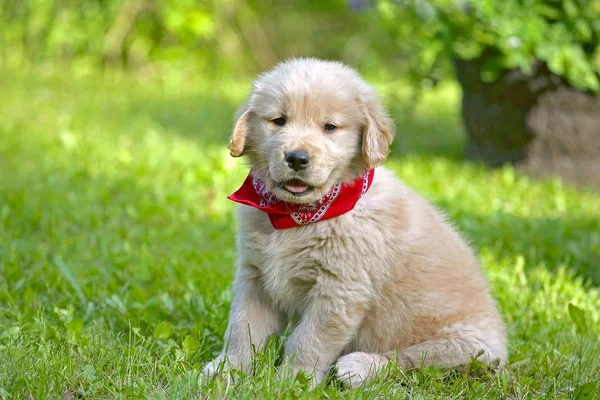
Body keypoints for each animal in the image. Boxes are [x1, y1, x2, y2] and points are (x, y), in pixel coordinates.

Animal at [204, 58, 508, 388]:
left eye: (330, 127)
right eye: (278, 121)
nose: (297, 158)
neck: (299, 216)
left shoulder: (339, 290)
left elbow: (307, 340)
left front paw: (292, 381)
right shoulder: (255, 277)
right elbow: (242, 328)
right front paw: (228, 370)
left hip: (469, 346)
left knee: (412, 361)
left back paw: (359, 367)